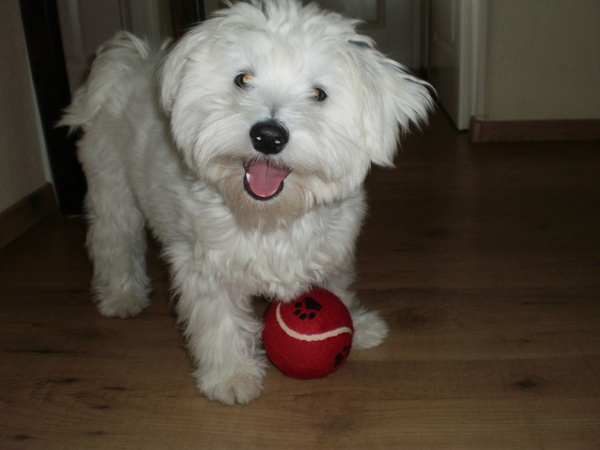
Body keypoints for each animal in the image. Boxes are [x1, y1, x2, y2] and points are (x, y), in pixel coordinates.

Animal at [61, 0, 432, 404]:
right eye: (242, 79)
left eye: (318, 93)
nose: (268, 136)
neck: (268, 217)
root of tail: (125, 61)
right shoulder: (205, 267)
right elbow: (220, 323)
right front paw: (232, 376)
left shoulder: (330, 250)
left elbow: (335, 289)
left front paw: (358, 325)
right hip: (114, 192)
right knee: (113, 244)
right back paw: (122, 297)